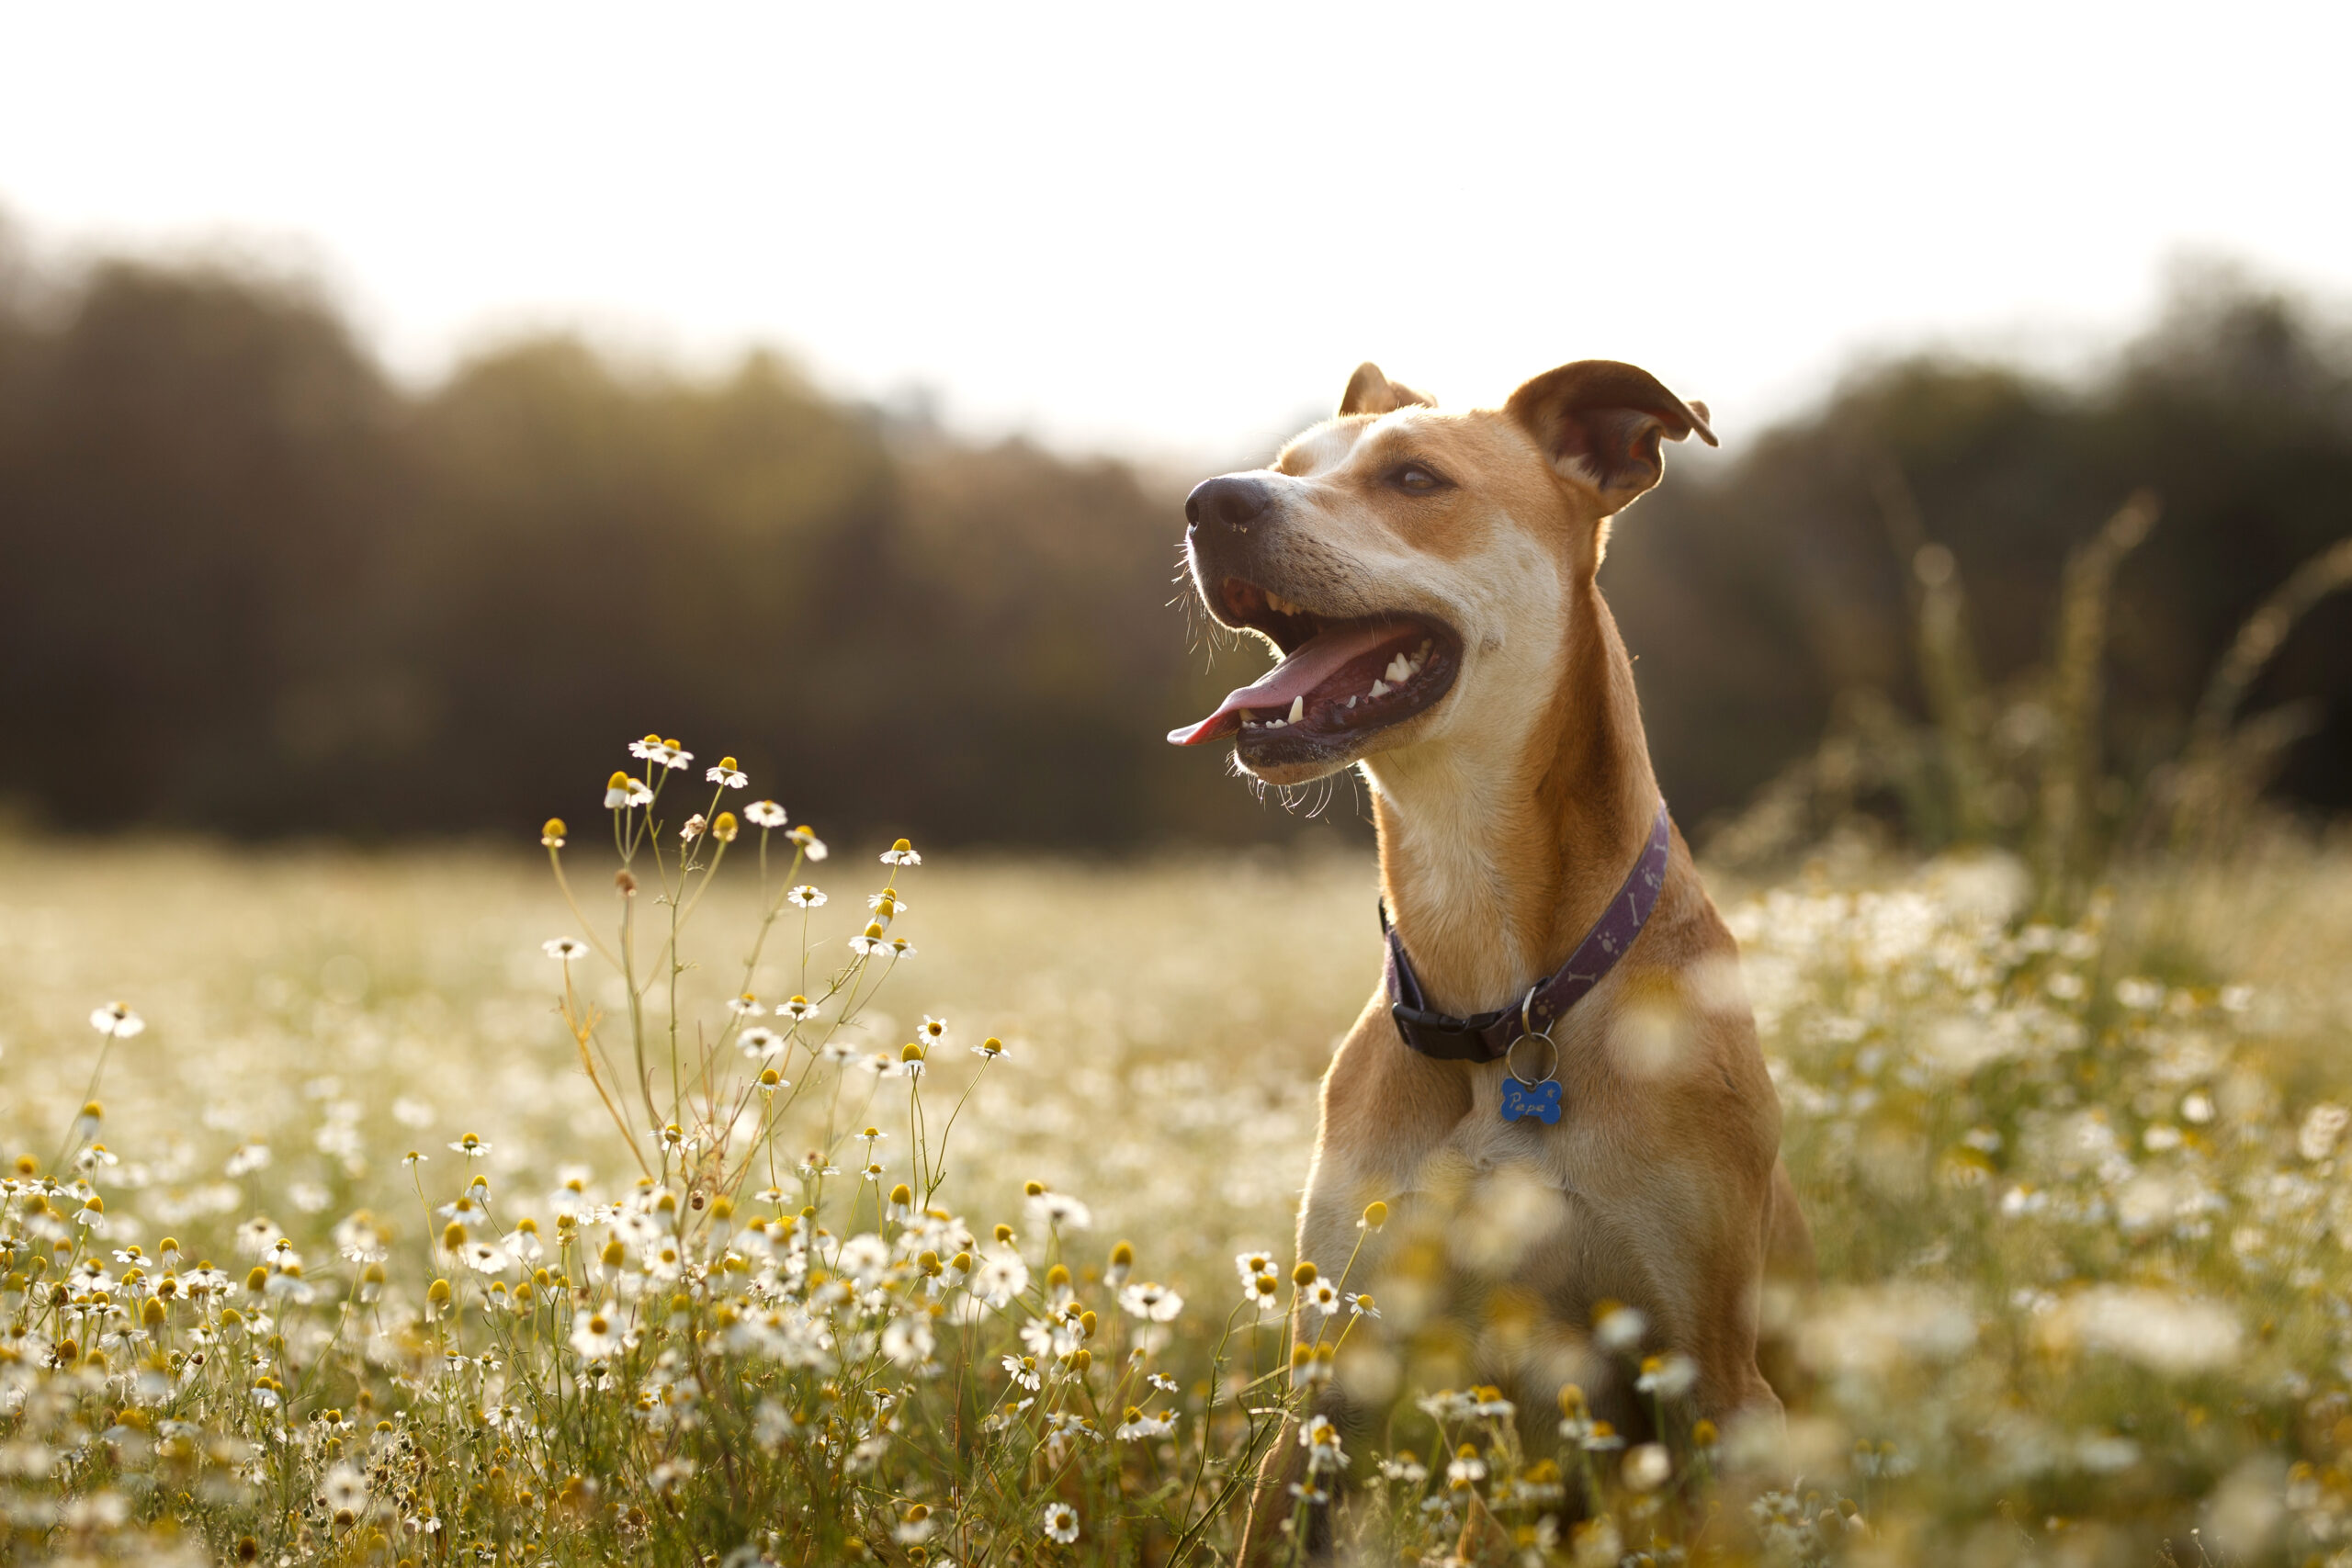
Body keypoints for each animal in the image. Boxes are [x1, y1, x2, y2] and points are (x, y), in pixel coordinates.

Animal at [1166, 359, 1806, 1561]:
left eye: (1415, 479)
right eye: (1285, 466)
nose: (1210, 502)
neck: (1498, 1003)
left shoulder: (1712, 1381)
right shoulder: (1330, 1380)